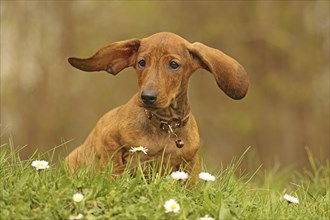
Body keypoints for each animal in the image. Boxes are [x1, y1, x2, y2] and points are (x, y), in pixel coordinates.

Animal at [66, 32, 248, 177]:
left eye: (174, 64)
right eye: (141, 62)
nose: (147, 97)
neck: (165, 125)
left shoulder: (190, 162)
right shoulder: (108, 142)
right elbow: (115, 170)